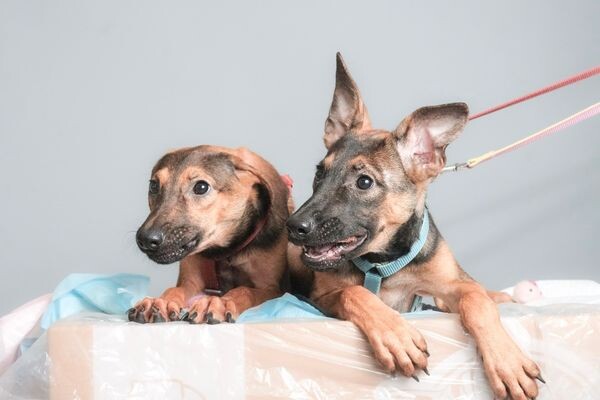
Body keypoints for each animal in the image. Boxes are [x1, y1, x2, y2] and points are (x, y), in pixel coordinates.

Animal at [129, 146, 292, 324]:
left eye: (201, 187)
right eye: (153, 185)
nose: (144, 239)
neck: (227, 252)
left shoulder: (271, 288)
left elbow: (245, 290)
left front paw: (220, 302)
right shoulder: (190, 282)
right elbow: (174, 289)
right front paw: (160, 302)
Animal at [288, 54, 540, 400]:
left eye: (364, 182)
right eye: (319, 173)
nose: (293, 226)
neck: (382, 265)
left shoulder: (451, 283)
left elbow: (476, 300)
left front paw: (507, 362)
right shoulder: (320, 297)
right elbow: (354, 292)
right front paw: (395, 335)